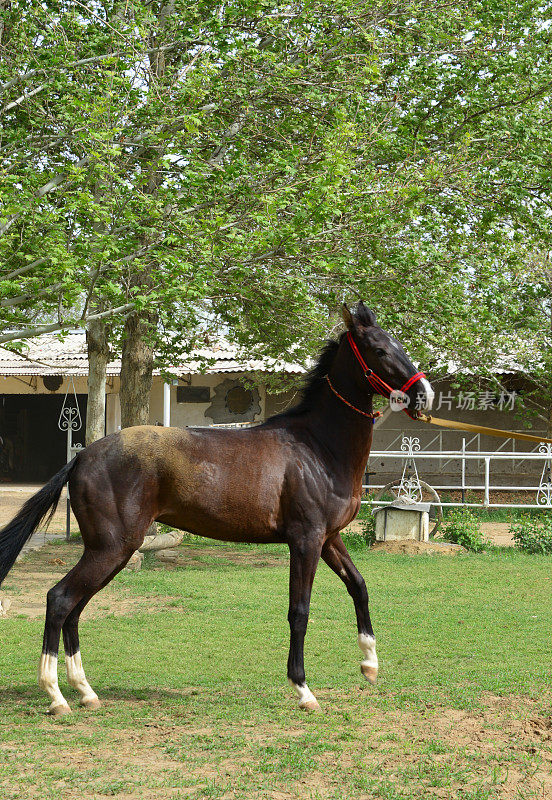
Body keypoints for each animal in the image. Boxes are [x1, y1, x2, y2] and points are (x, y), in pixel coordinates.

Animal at [0, 304, 434, 712]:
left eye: (398, 342)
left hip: (109, 552)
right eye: (379, 349)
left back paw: (85, 692)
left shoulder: (330, 539)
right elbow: (300, 611)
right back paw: (56, 695)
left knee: (74, 608)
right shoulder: (306, 541)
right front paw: (303, 689)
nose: (424, 395)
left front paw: (370, 664)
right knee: (59, 600)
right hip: (111, 549)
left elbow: (359, 586)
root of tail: (82, 456)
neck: (317, 448)